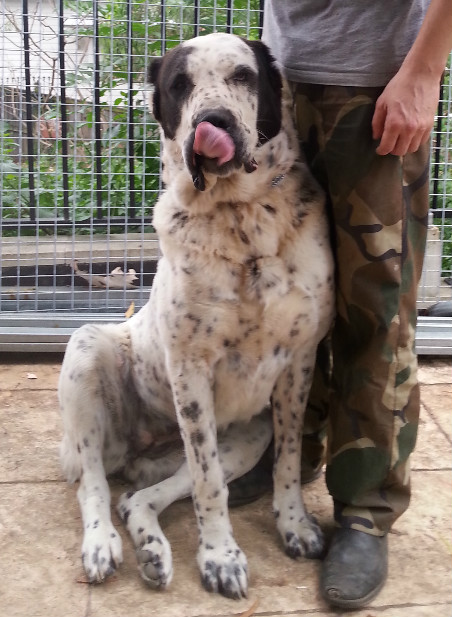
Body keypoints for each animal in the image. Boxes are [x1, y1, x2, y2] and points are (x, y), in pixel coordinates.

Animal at [59, 32, 336, 596]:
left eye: (243, 76)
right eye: (179, 85)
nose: (214, 121)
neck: (240, 219)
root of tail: (137, 450)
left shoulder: (299, 362)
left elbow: (289, 460)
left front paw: (294, 524)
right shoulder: (190, 369)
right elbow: (210, 487)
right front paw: (219, 556)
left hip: (247, 438)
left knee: (137, 497)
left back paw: (153, 550)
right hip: (86, 352)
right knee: (95, 485)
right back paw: (103, 545)